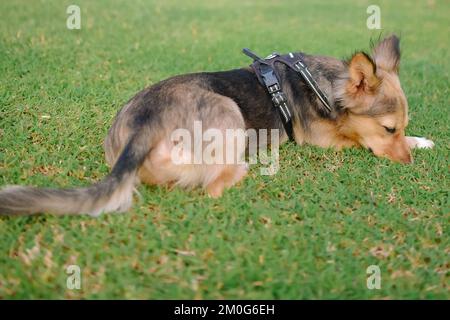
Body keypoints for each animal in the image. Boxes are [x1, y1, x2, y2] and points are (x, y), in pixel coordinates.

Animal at [0, 34, 436, 215]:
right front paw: (419, 144)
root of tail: (144, 122)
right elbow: (357, 141)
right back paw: (246, 169)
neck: (322, 83)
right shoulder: (324, 139)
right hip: (228, 110)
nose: (408, 165)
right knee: (213, 182)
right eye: (389, 129)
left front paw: (422, 142)